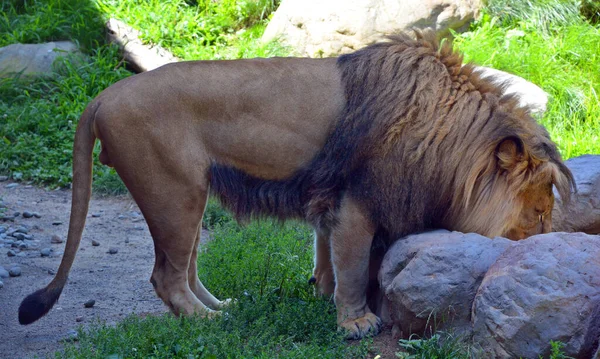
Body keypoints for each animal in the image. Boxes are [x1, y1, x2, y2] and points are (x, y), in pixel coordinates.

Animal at [18, 30, 576, 340]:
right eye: (537, 213)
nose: (541, 241)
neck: (448, 135)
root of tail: (101, 97)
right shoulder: (358, 202)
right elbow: (353, 267)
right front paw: (355, 323)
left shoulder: (330, 202)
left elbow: (326, 256)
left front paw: (322, 293)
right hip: (172, 192)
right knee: (165, 277)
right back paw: (209, 323)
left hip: (189, 197)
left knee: (186, 268)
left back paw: (222, 306)